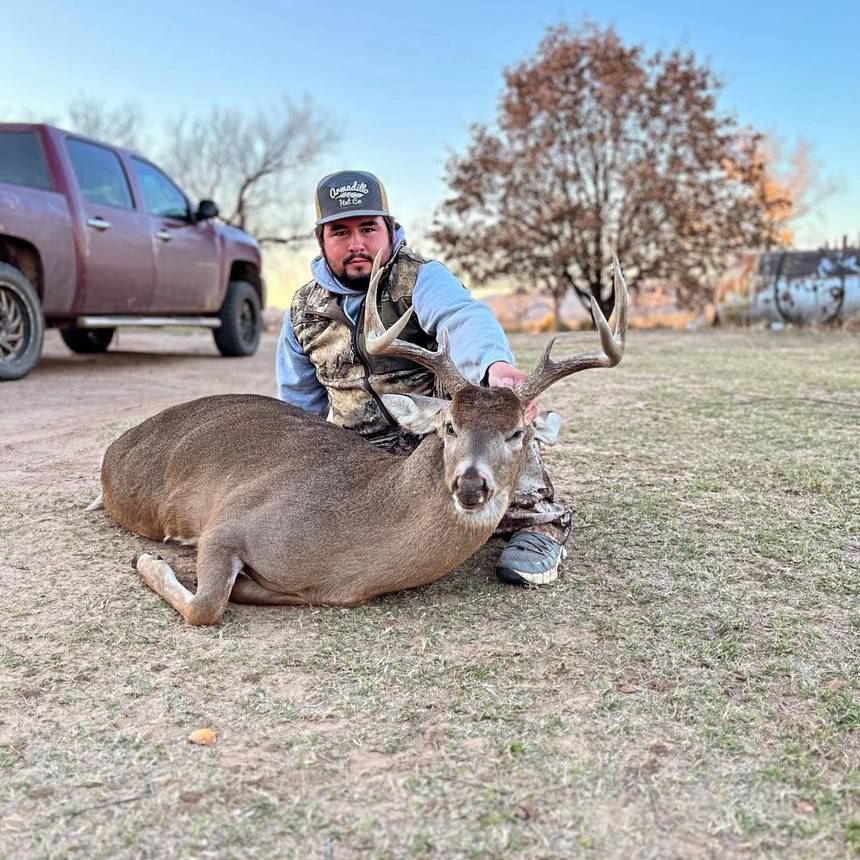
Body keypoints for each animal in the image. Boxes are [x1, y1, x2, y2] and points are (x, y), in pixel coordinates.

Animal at [90, 252, 628, 625]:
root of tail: (115, 450)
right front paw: (148, 559)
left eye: (517, 432)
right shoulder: (227, 523)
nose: (471, 485)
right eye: (449, 426)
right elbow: (206, 606)